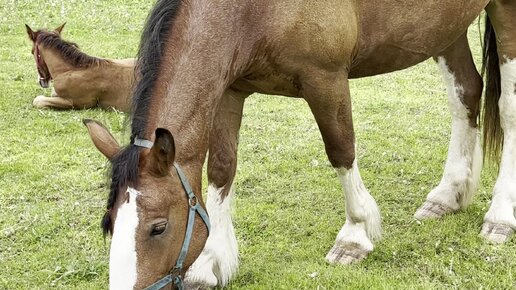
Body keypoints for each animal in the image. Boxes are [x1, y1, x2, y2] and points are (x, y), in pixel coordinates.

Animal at [83, 1, 516, 288]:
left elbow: (341, 150)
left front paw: (354, 236)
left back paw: (499, 216)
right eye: (109, 223)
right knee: (466, 92)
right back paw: (447, 195)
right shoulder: (230, 91)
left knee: (507, 107)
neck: (250, 12)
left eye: (157, 228)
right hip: (444, 25)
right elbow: (221, 169)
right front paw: (210, 263)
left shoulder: (325, 78)